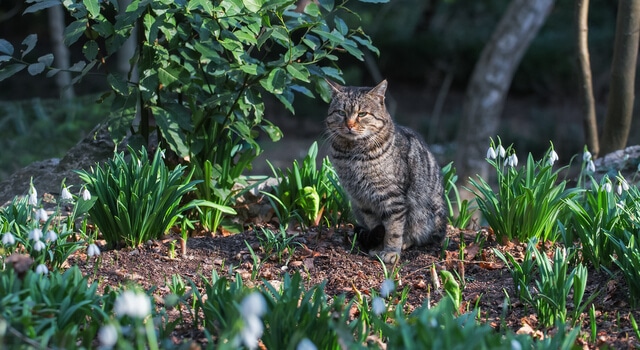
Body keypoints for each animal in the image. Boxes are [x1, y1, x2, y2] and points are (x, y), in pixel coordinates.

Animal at [324, 80, 444, 266]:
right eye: (341, 113)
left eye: (362, 114)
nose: (349, 125)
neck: (352, 154)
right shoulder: (362, 199)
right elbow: (376, 225)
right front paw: (378, 247)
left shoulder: (392, 197)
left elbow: (393, 229)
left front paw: (390, 252)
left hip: (425, 213)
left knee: (423, 236)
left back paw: (406, 242)